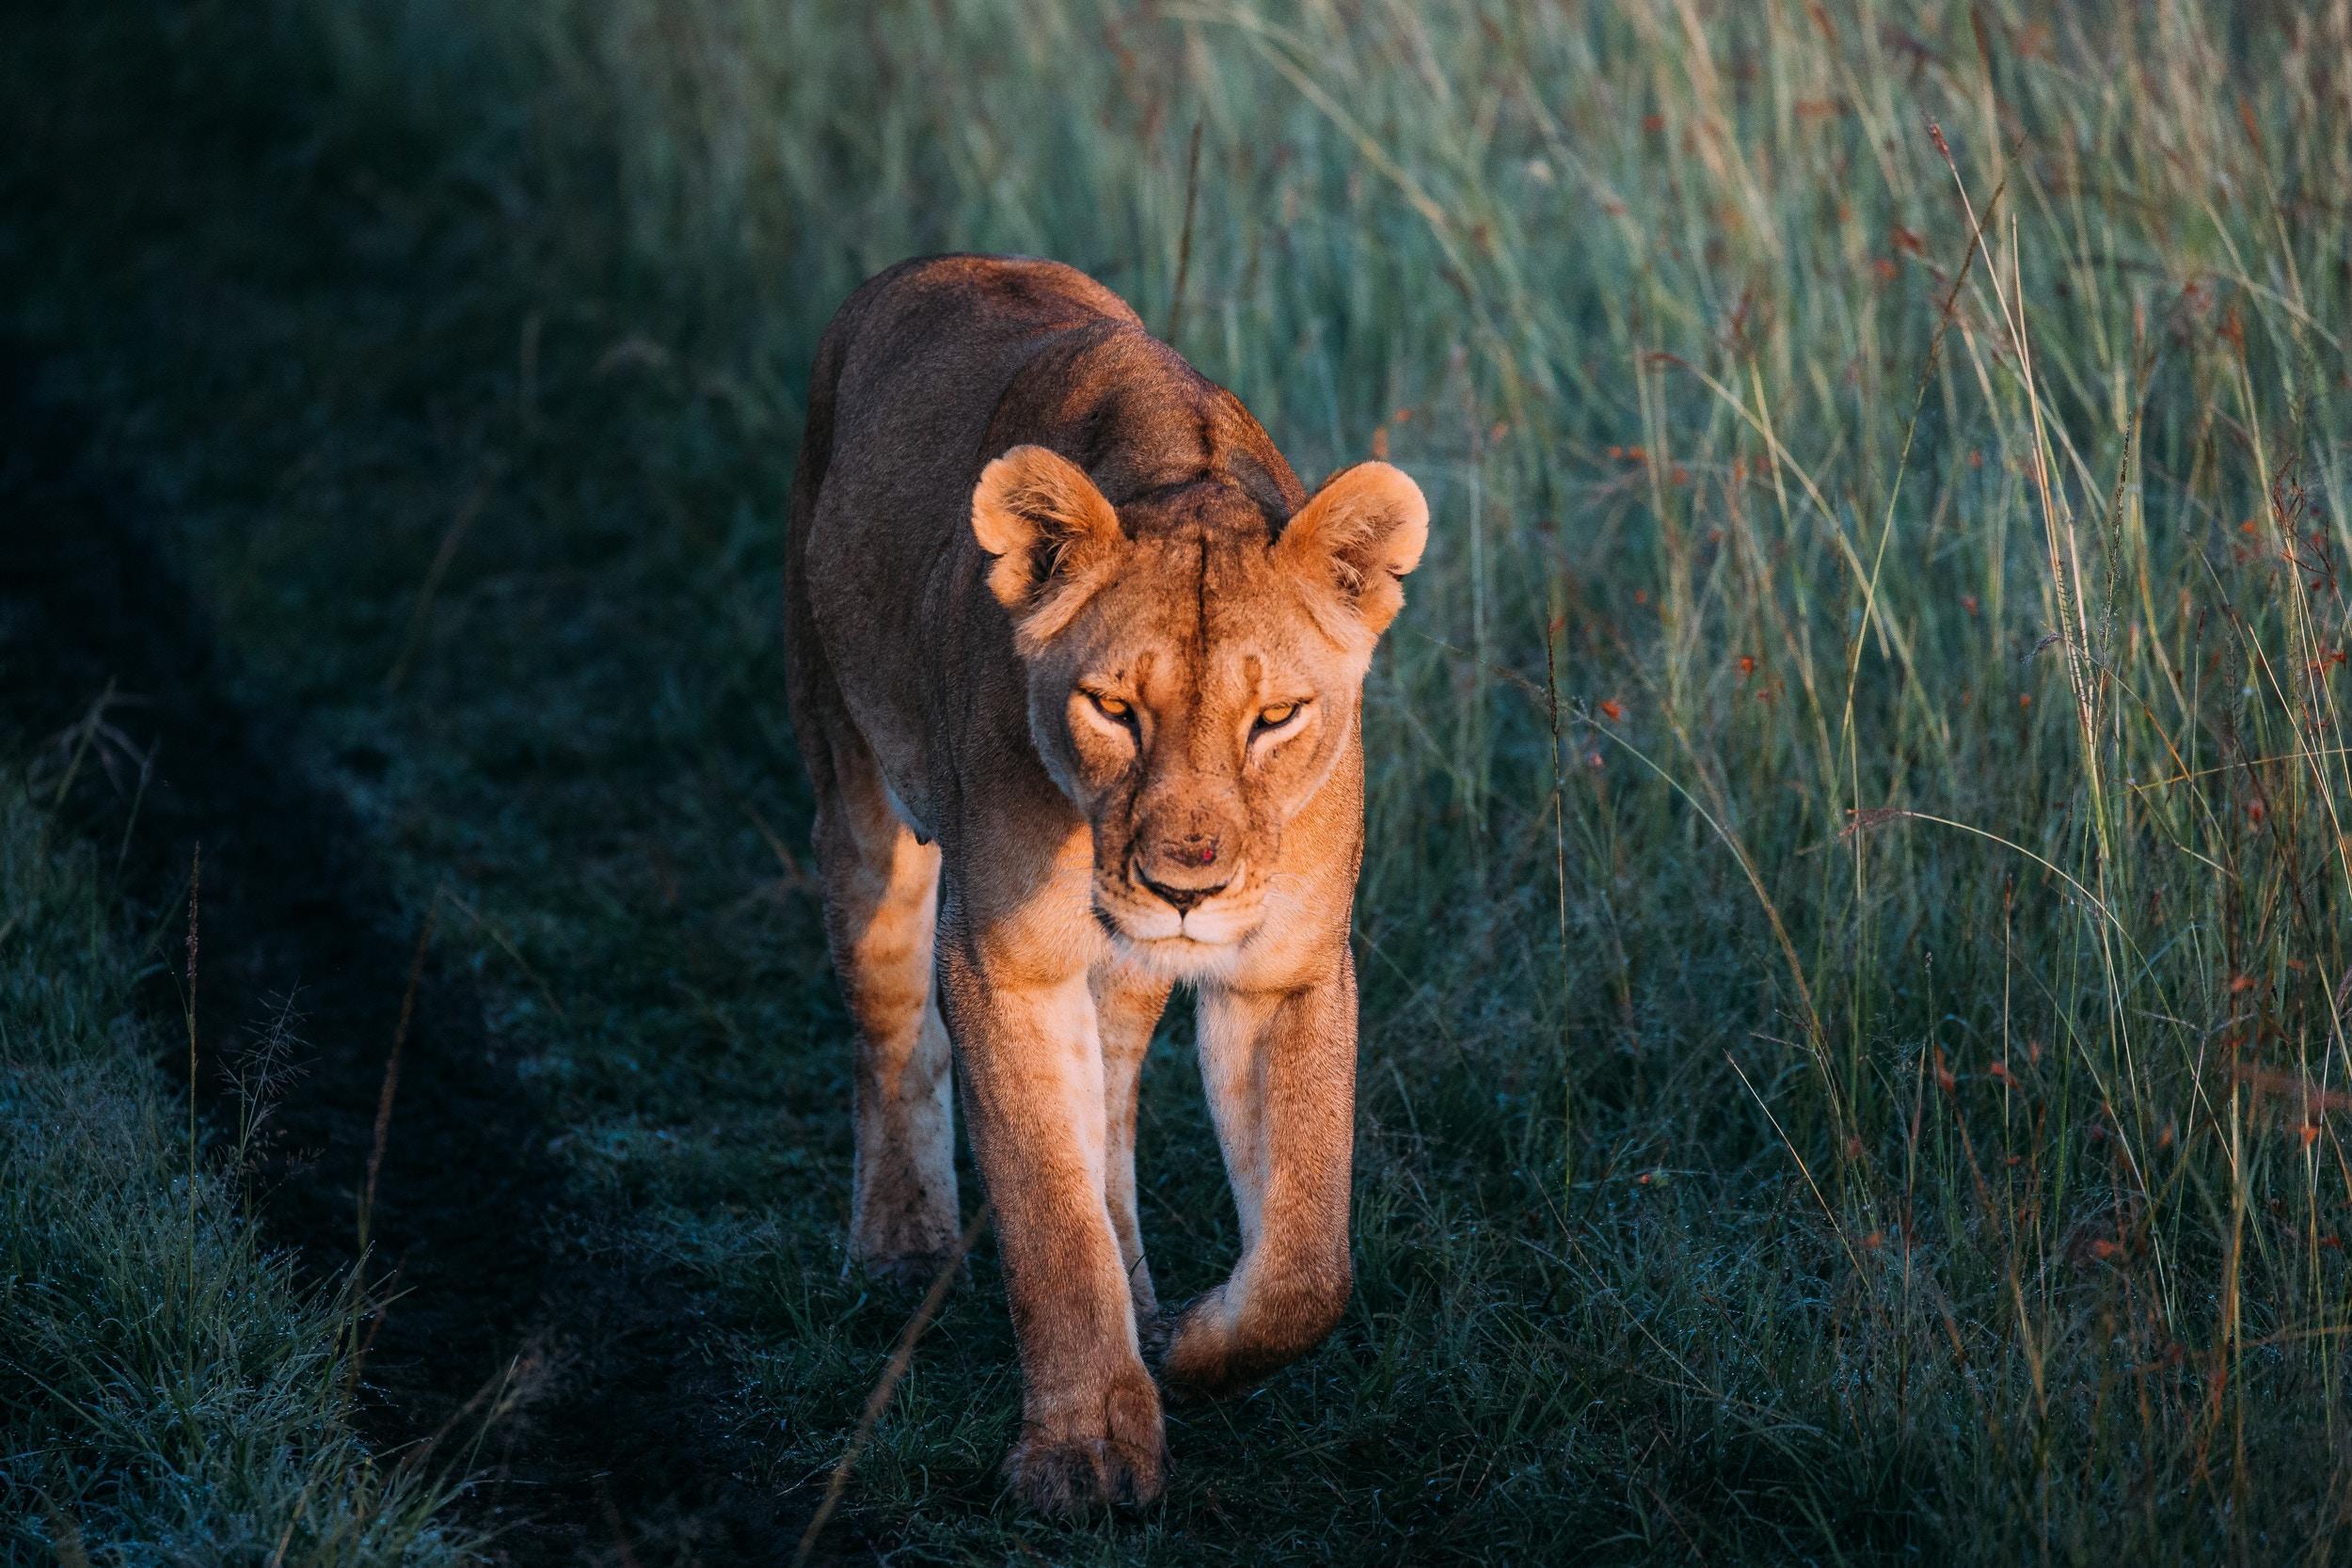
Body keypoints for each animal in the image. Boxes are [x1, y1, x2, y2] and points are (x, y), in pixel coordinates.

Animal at [784, 254, 1428, 1513]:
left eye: (1276, 715)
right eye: (1113, 708)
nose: (1185, 887)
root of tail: (924, 267)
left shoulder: (1284, 971)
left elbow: (1305, 1260)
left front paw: (1192, 1344)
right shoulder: (1002, 965)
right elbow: (1049, 1213)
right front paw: (1082, 1448)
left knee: (1114, 1110)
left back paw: (1142, 1296)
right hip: (854, 783)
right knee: (890, 1028)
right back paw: (898, 1239)